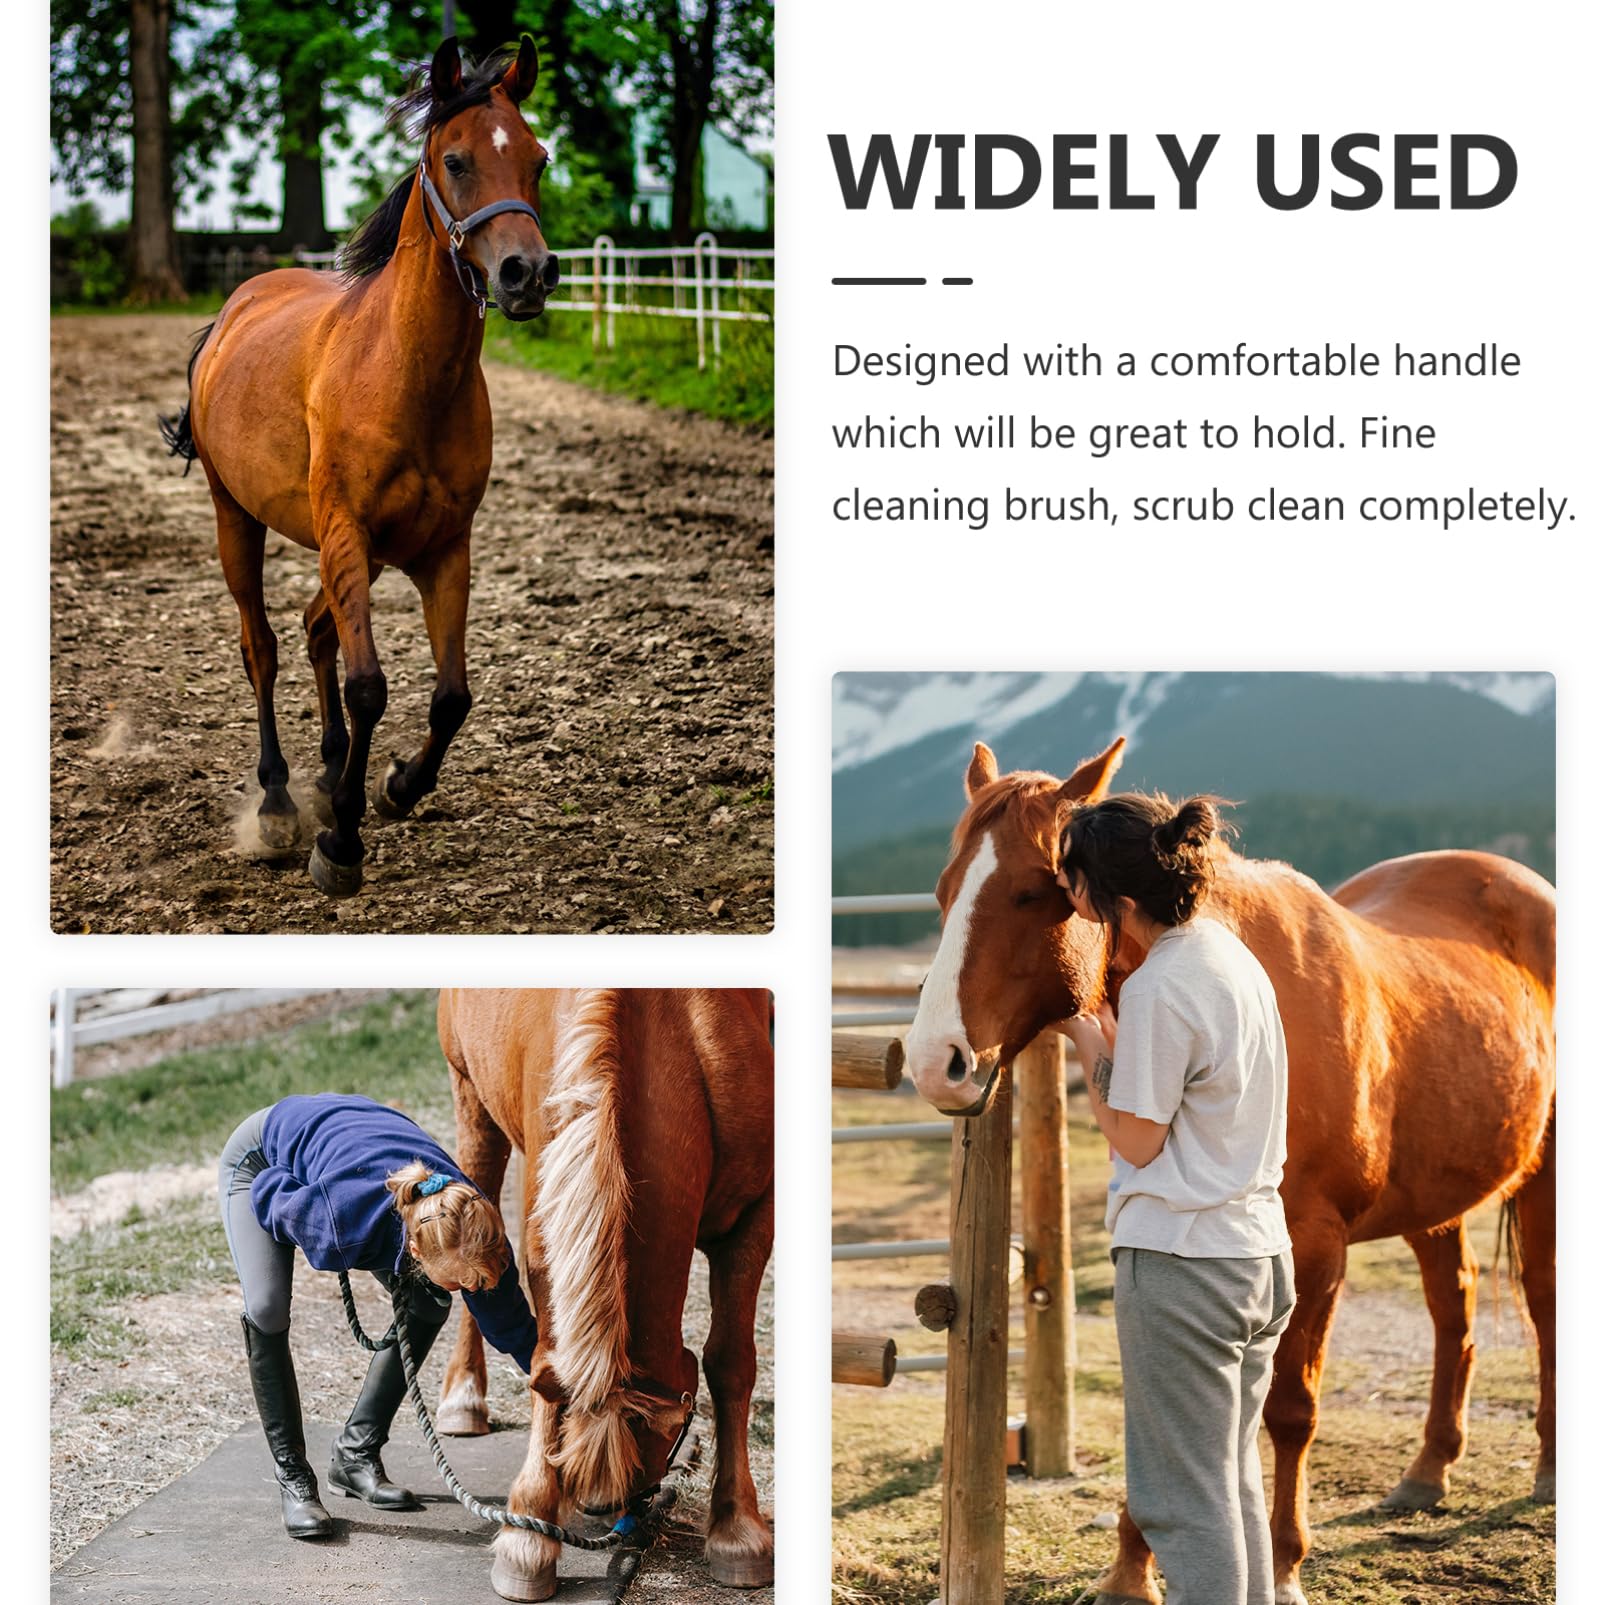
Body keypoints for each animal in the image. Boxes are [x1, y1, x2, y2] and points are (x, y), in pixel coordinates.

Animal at [159, 36, 559, 897]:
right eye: (455, 160)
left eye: (537, 159)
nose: (527, 274)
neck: (405, 371)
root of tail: (233, 309)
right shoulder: (346, 531)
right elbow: (369, 684)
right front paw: (339, 841)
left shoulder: (445, 548)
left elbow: (450, 696)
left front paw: (396, 785)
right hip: (237, 519)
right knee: (263, 646)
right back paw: (280, 801)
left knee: (316, 630)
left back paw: (330, 768)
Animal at [433, 989, 775, 1602]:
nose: (601, 1505)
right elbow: (548, 1370)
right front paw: (528, 1534)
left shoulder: (754, 1218)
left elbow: (732, 1363)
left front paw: (737, 1530)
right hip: (470, 1095)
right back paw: (464, 1397)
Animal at [901, 739, 1555, 1605]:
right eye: (943, 892)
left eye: (1033, 891)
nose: (934, 1062)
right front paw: (1130, 1568)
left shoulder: (1312, 1246)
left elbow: (1286, 1409)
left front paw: (1279, 1562)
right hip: (1435, 1195)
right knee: (1456, 1303)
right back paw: (1427, 1470)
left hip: (1545, 1171)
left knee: (1541, 1299)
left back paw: (1547, 1465)